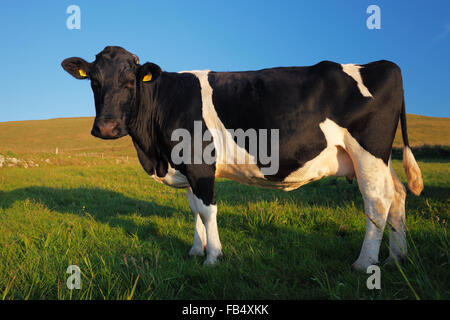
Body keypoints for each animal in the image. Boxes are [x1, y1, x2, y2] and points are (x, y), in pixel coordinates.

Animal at [61, 46, 424, 272]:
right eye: (94, 82)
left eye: (130, 80)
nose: (106, 127)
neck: (155, 152)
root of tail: (381, 64)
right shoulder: (189, 169)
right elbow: (194, 209)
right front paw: (195, 251)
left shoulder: (200, 164)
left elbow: (207, 211)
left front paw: (213, 257)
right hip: (378, 158)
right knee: (397, 194)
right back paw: (397, 257)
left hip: (367, 151)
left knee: (376, 200)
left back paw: (365, 263)